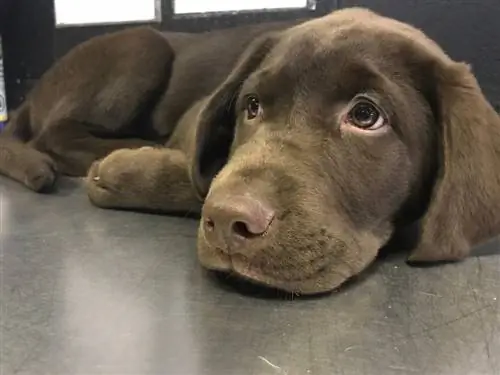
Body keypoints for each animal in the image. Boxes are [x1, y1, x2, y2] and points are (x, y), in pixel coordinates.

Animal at [0, 8, 500, 296]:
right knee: (55, 134)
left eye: (365, 115)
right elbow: (207, 168)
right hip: (145, 45)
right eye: (252, 106)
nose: (226, 222)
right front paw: (130, 170)